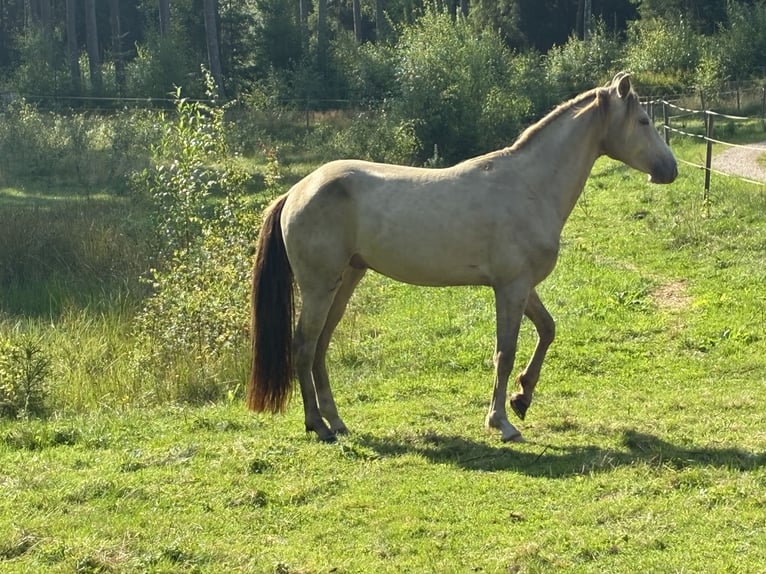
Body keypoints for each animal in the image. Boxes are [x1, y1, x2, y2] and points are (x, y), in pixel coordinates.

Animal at [247, 72, 677, 443]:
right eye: (642, 120)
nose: (669, 169)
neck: (529, 187)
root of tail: (297, 190)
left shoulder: (522, 287)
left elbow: (548, 329)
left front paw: (522, 398)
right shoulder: (510, 288)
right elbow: (505, 353)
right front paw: (501, 421)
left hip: (346, 280)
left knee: (320, 346)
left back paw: (336, 421)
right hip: (319, 286)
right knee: (304, 346)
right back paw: (317, 424)